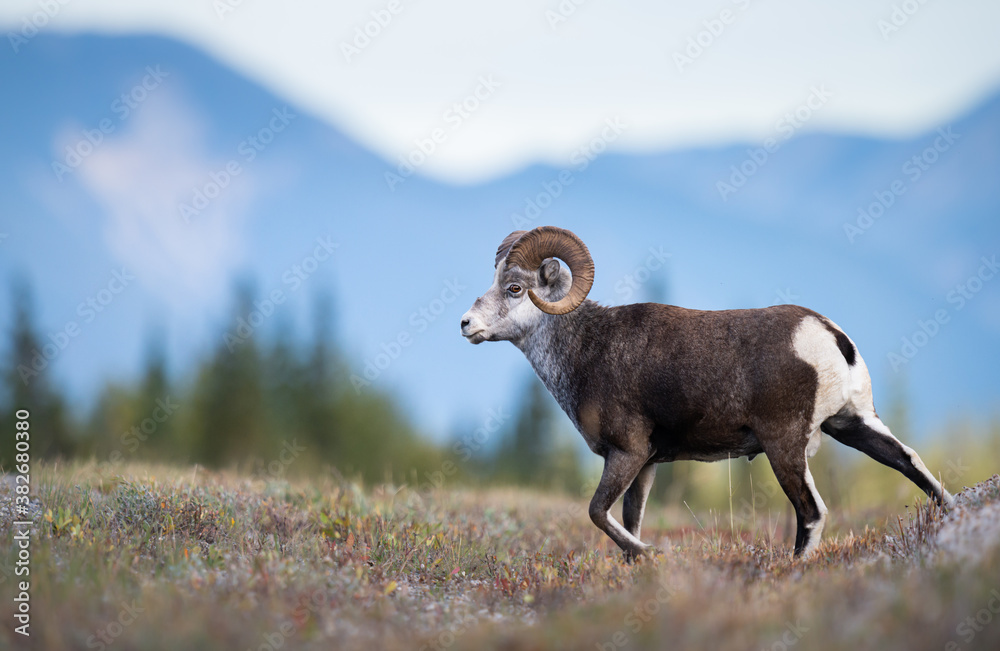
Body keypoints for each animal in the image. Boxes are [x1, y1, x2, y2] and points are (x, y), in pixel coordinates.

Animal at [459, 225, 953, 561]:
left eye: (515, 288)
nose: (466, 324)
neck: (586, 349)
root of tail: (830, 336)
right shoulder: (647, 465)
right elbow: (631, 520)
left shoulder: (626, 453)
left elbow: (599, 513)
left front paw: (653, 555)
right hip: (852, 424)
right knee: (910, 463)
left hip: (785, 447)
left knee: (812, 512)